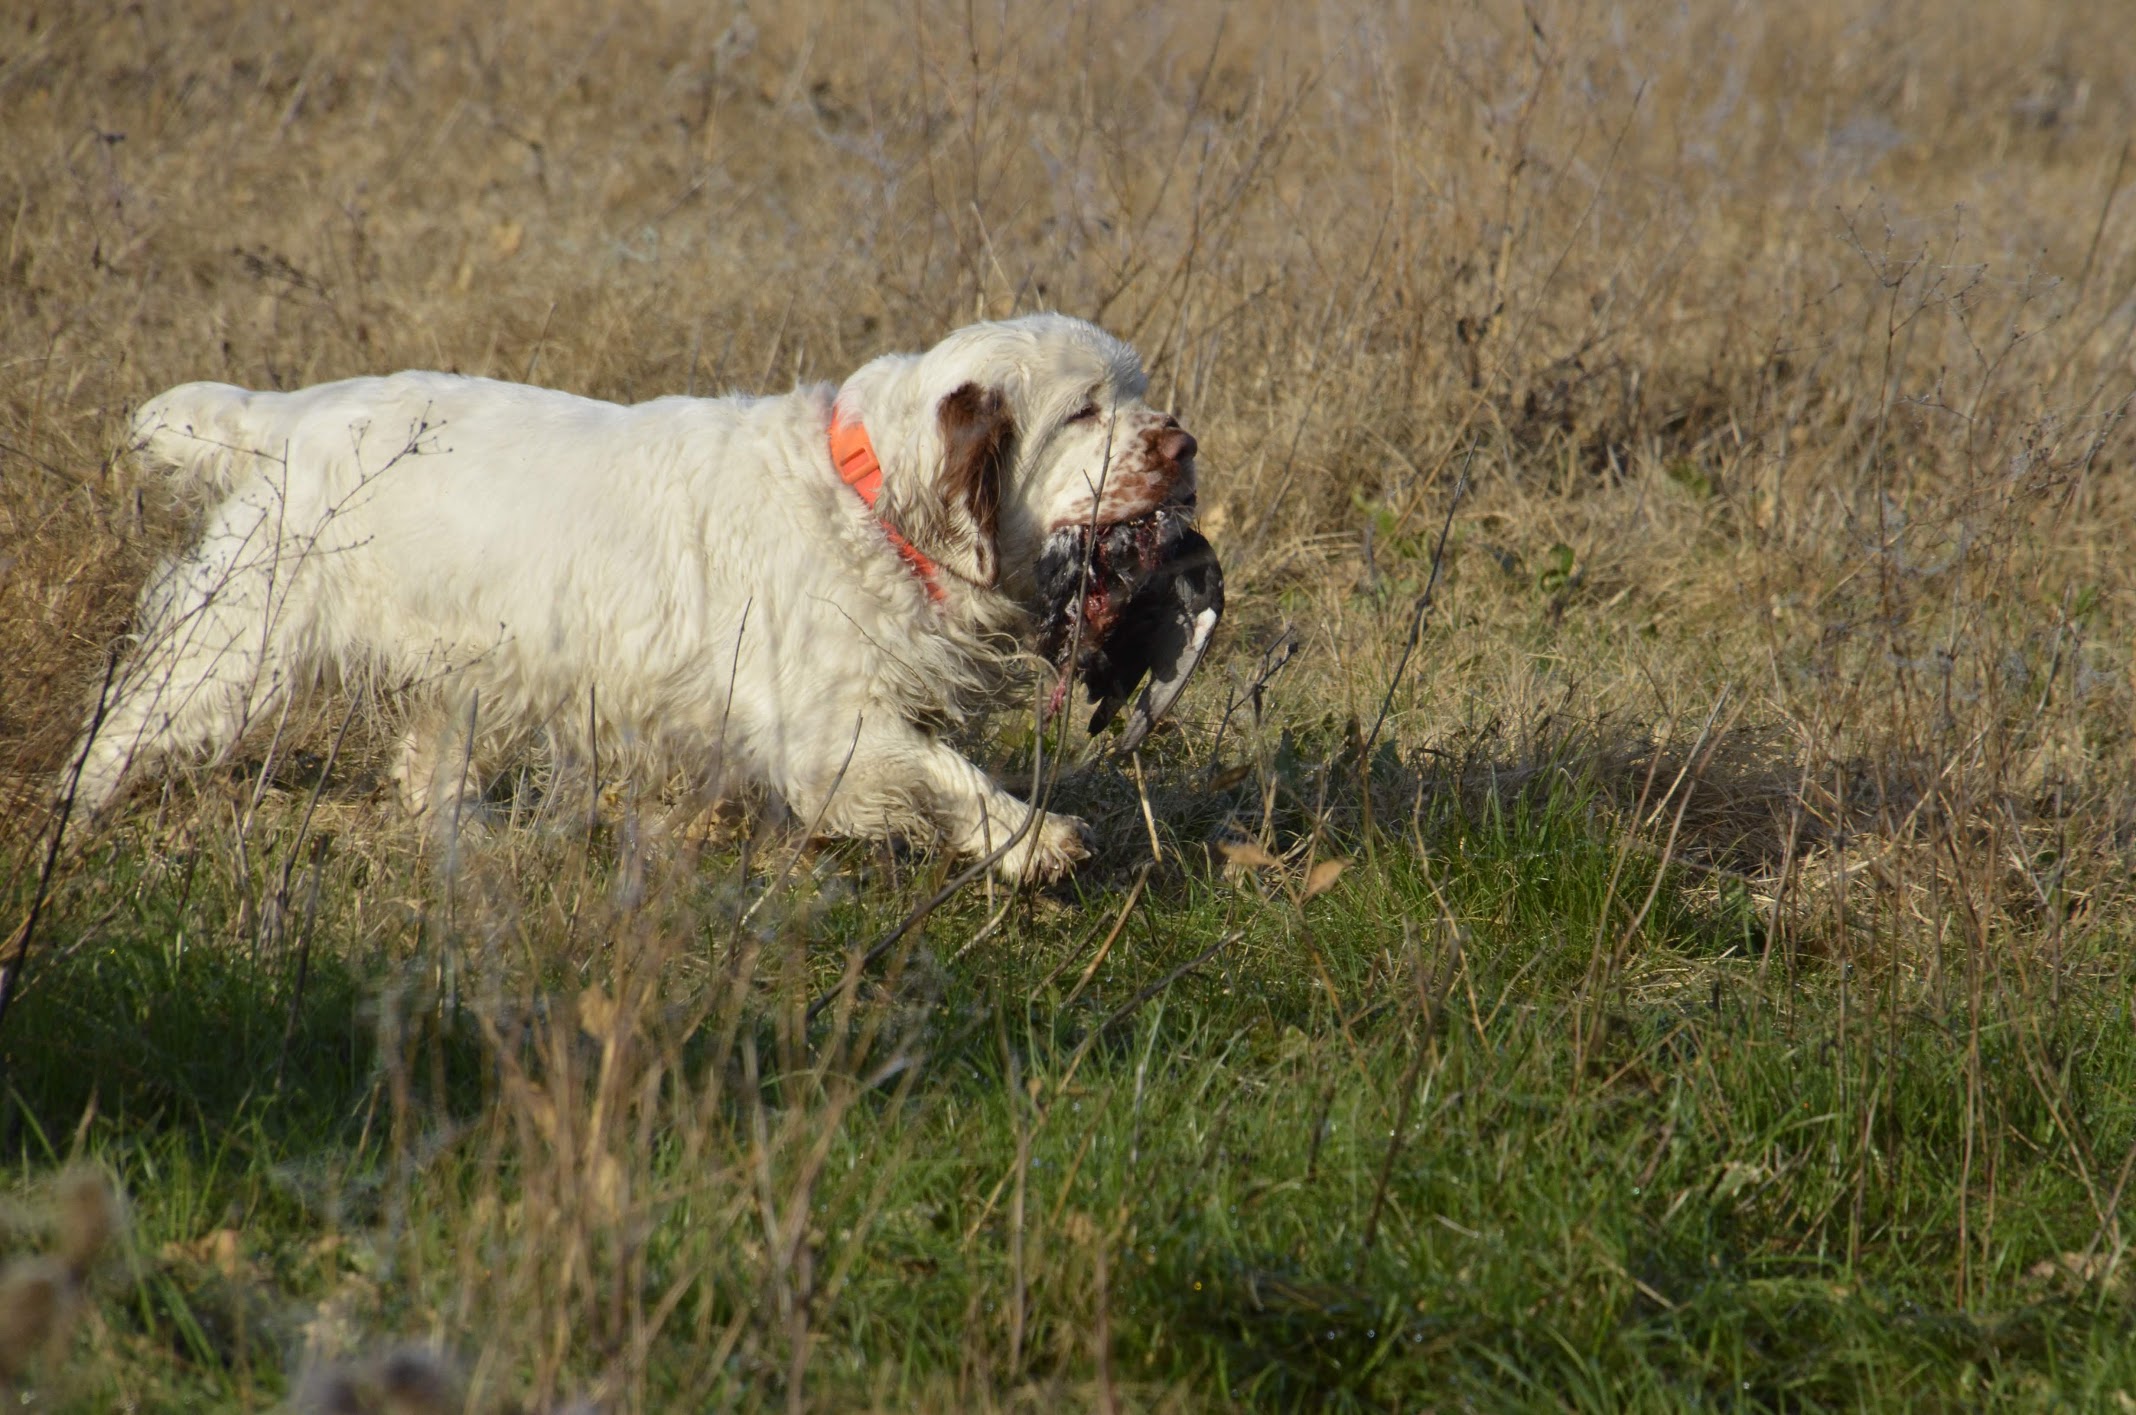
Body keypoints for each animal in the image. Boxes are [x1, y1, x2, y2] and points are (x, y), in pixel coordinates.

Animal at [75, 316, 1204, 880]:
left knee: (427, 763)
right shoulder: (825, 729)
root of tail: (293, 413)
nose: (1186, 444)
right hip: (238, 647)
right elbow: (949, 776)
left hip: (471, 665)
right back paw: (74, 821)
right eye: (1085, 410)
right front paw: (1035, 838)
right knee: (125, 725)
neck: (868, 500)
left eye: (1143, 394)